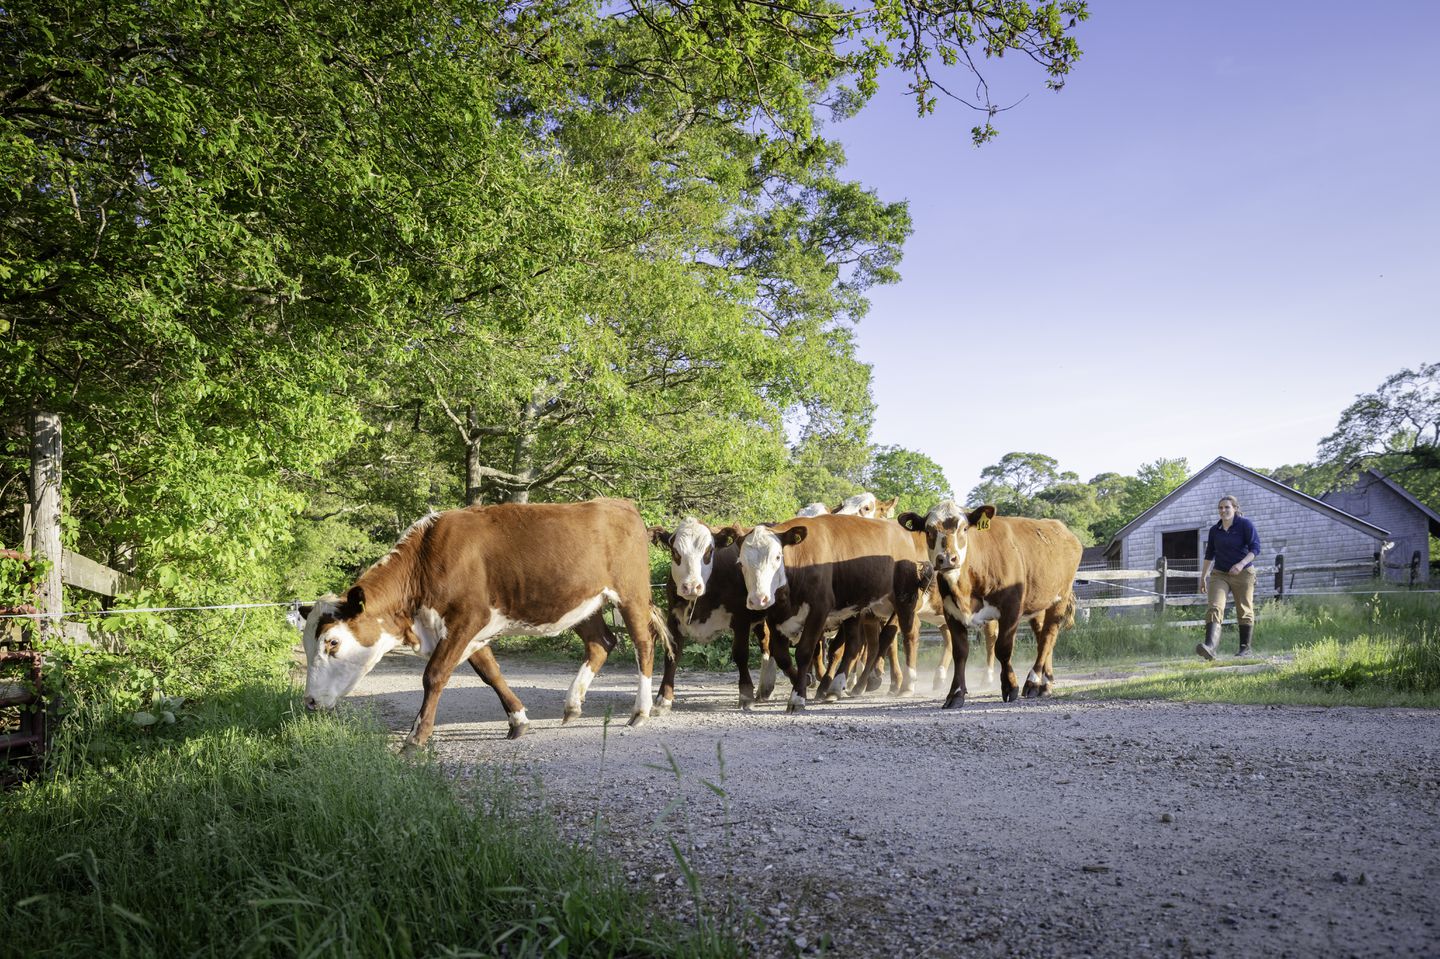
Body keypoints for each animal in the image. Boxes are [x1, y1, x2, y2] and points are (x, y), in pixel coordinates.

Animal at [302, 495, 668, 748]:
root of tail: (621, 505)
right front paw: (518, 721)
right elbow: (490, 673)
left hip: (631, 594)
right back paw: (572, 705)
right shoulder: (472, 629)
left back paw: (640, 711)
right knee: (601, 643)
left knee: (643, 643)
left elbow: (434, 674)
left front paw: (416, 738)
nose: (309, 701)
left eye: (332, 642)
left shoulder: (466, 618)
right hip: (584, 603)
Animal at [714, 512, 927, 705]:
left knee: (908, 634)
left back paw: (907, 685)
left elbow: (804, 652)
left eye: (777, 557)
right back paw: (835, 688)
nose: (759, 599)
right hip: (857, 609)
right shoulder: (775, 616)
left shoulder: (818, 611)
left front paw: (797, 697)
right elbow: (782, 656)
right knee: (855, 644)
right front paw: (804, 682)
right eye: (741, 562)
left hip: (905, 597)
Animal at [898, 495, 1082, 705]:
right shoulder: (951, 612)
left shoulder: (1011, 608)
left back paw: (1033, 682)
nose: (947, 558)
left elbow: (1003, 648)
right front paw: (956, 693)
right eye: (929, 530)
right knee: (1042, 636)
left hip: (1060, 597)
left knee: (1048, 637)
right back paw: (1046, 683)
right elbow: (960, 652)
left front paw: (1010, 686)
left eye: (964, 528)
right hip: (1038, 604)